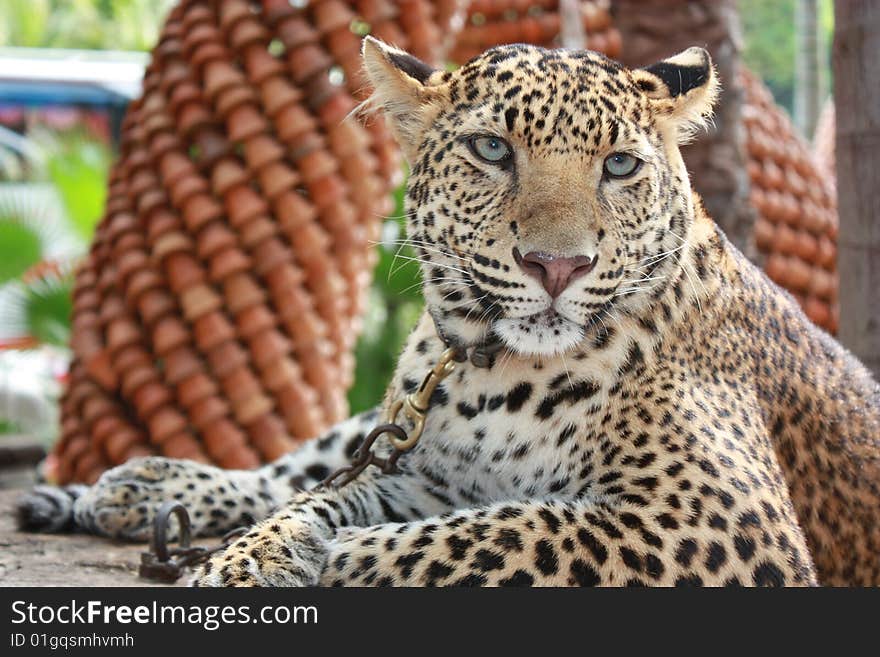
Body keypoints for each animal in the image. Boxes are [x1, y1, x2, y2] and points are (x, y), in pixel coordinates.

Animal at [18, 38, 880, 588]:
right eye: (493, 151)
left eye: (619, 166)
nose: (558, 266)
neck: (491, 367)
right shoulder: (425, 472)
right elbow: (324, 499)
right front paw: (246, 556)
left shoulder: (720, 521)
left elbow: (494, 531)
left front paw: (313, 558)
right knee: (300, 463)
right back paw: (140, 488)